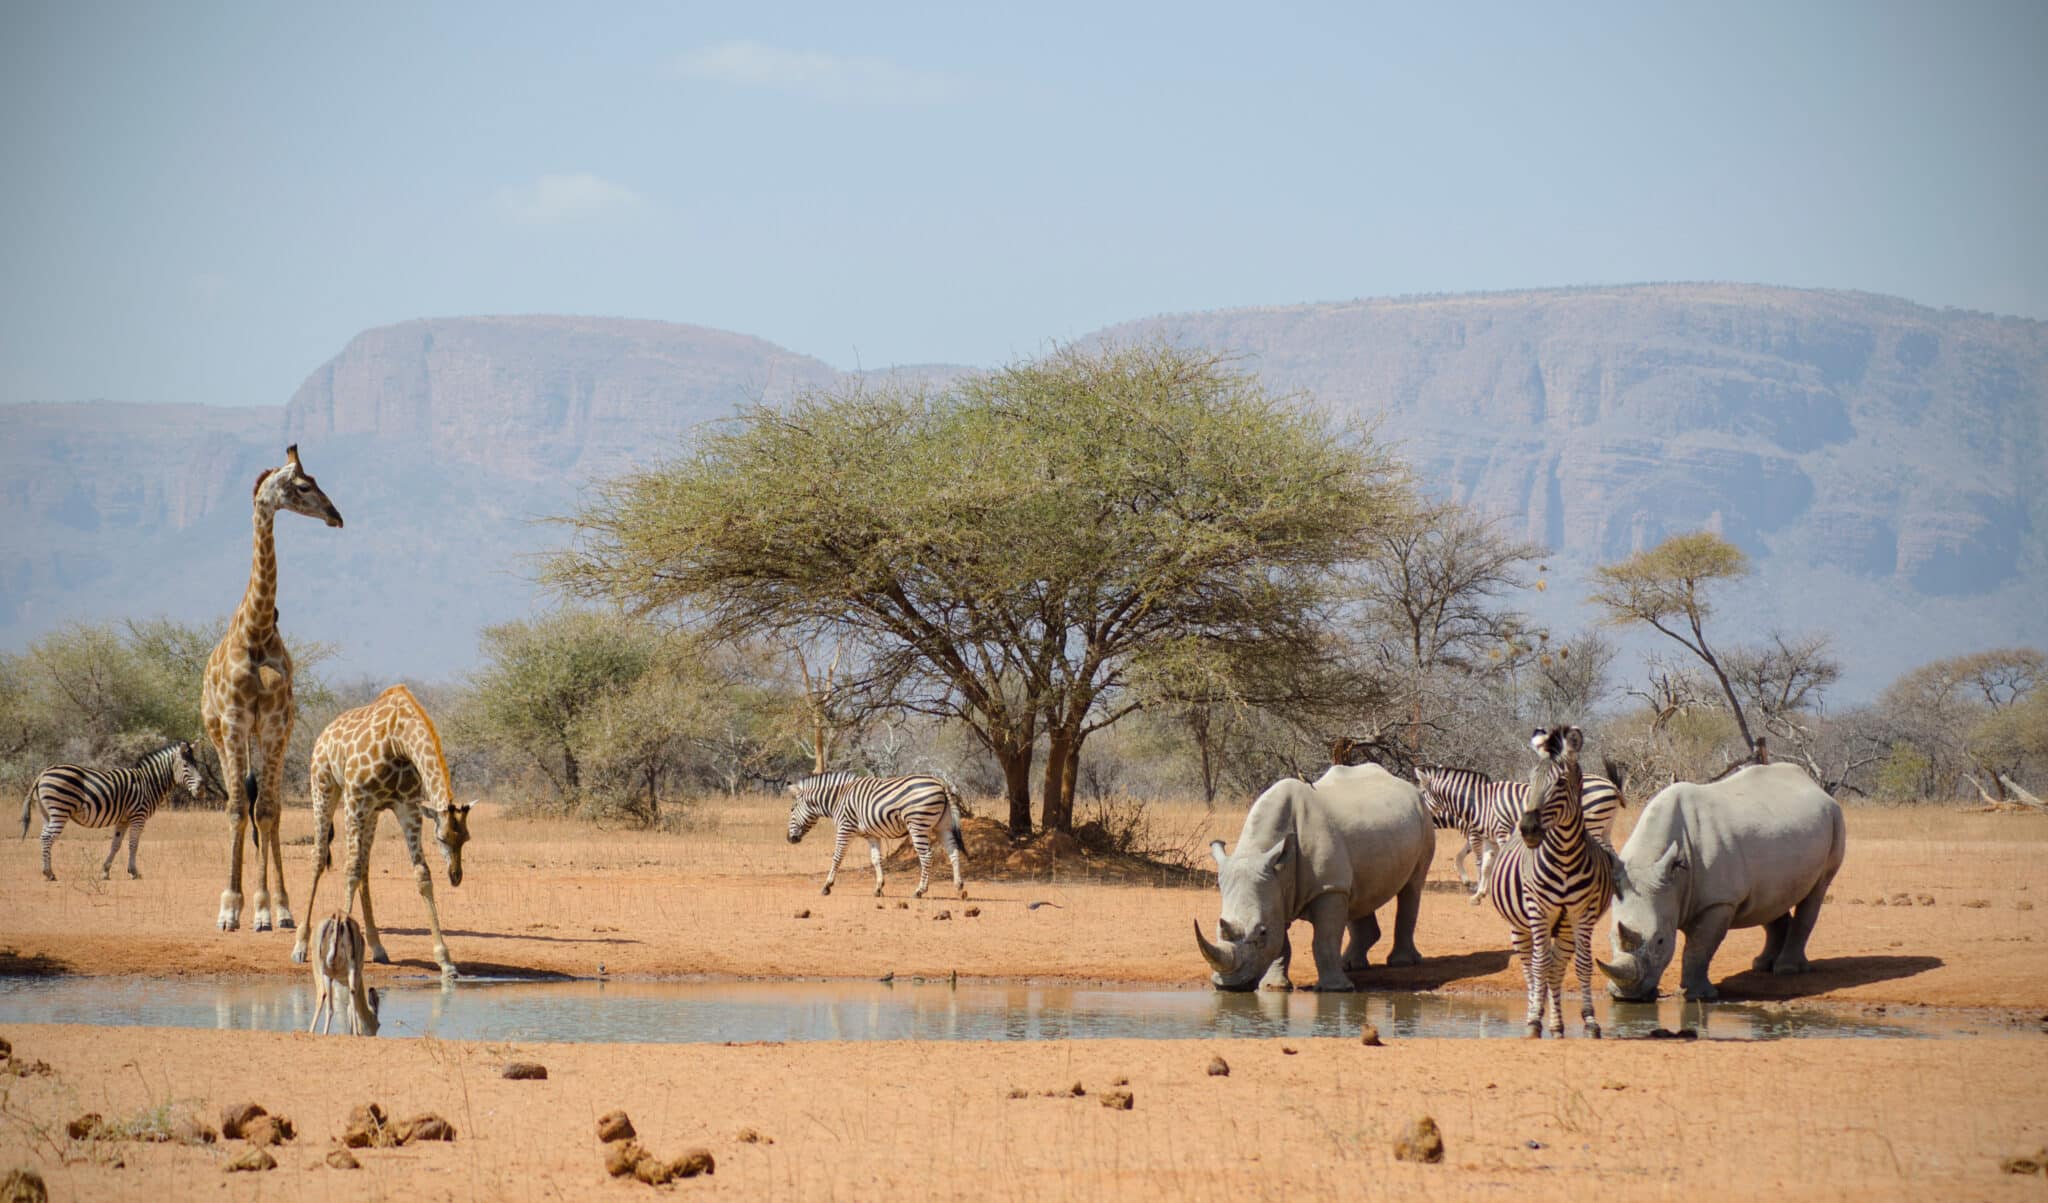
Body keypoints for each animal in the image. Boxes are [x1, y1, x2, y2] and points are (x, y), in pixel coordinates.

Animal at [20, 737, 207, 881]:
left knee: (43, 836)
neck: (148, 782)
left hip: (47, 813)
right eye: (185, 765)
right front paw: (134, 872)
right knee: (47, 838)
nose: (201, 790)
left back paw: (47, 871)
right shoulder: (138, 816)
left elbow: (115, 844)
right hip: (60, 810)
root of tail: (44, 772)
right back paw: (49, 873)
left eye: (196, 764)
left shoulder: (123, 820)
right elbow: (133, 844)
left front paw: (105, 871)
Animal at [203, 442, 344, 930]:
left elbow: (266, 810)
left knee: (270, 809)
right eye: (302, 486)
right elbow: (234, 809)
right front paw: (230, 908)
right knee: (241, 804)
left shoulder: (276, 723)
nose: (336, 516)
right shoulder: (233, 722)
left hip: (268, 736)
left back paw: (274, 907)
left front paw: (272, 909)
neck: (258, 629)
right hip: (221, 734)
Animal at [290, 688, 468, 979]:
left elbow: (422, 874)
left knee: (364, 865)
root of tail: (324, 733)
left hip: (372, 812)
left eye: (465, 838)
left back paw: (377, 947)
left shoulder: (408, 806)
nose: (455, 876)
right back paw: (300, 946)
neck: (397, 740)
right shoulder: (356, 800)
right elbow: (349, 870)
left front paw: (446, 962)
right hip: (325, 788)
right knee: (320, 856)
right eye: (441, 838)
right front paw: (336, 955)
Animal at [786, 774, 970, 897]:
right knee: (953, 852)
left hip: (917, 825)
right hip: (943, 826)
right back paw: (959, 886)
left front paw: (827, 886)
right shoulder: (871, 835)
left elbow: (837, 857)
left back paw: (919, 891)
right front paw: (879, 888)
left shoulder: (845, 828)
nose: (789, 839)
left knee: (926, 856)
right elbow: (876, 860)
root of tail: (940, 783)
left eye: (792, 809)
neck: (838, 799)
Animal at [1490, 729, 1613, 1041]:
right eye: (1530, 779)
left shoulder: (1582, 914)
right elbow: (1538, 966)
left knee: (1555, 968)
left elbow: (1582, 965)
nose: (1529, 829)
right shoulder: (1539, 911)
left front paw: (1590, 1022)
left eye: (1560, 782)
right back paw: (1534, 1014)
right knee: (1531, 966)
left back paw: (1557, 1025)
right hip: (1520, 927)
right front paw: (1535, 1019)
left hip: (1566, 928)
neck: (1565, 858)